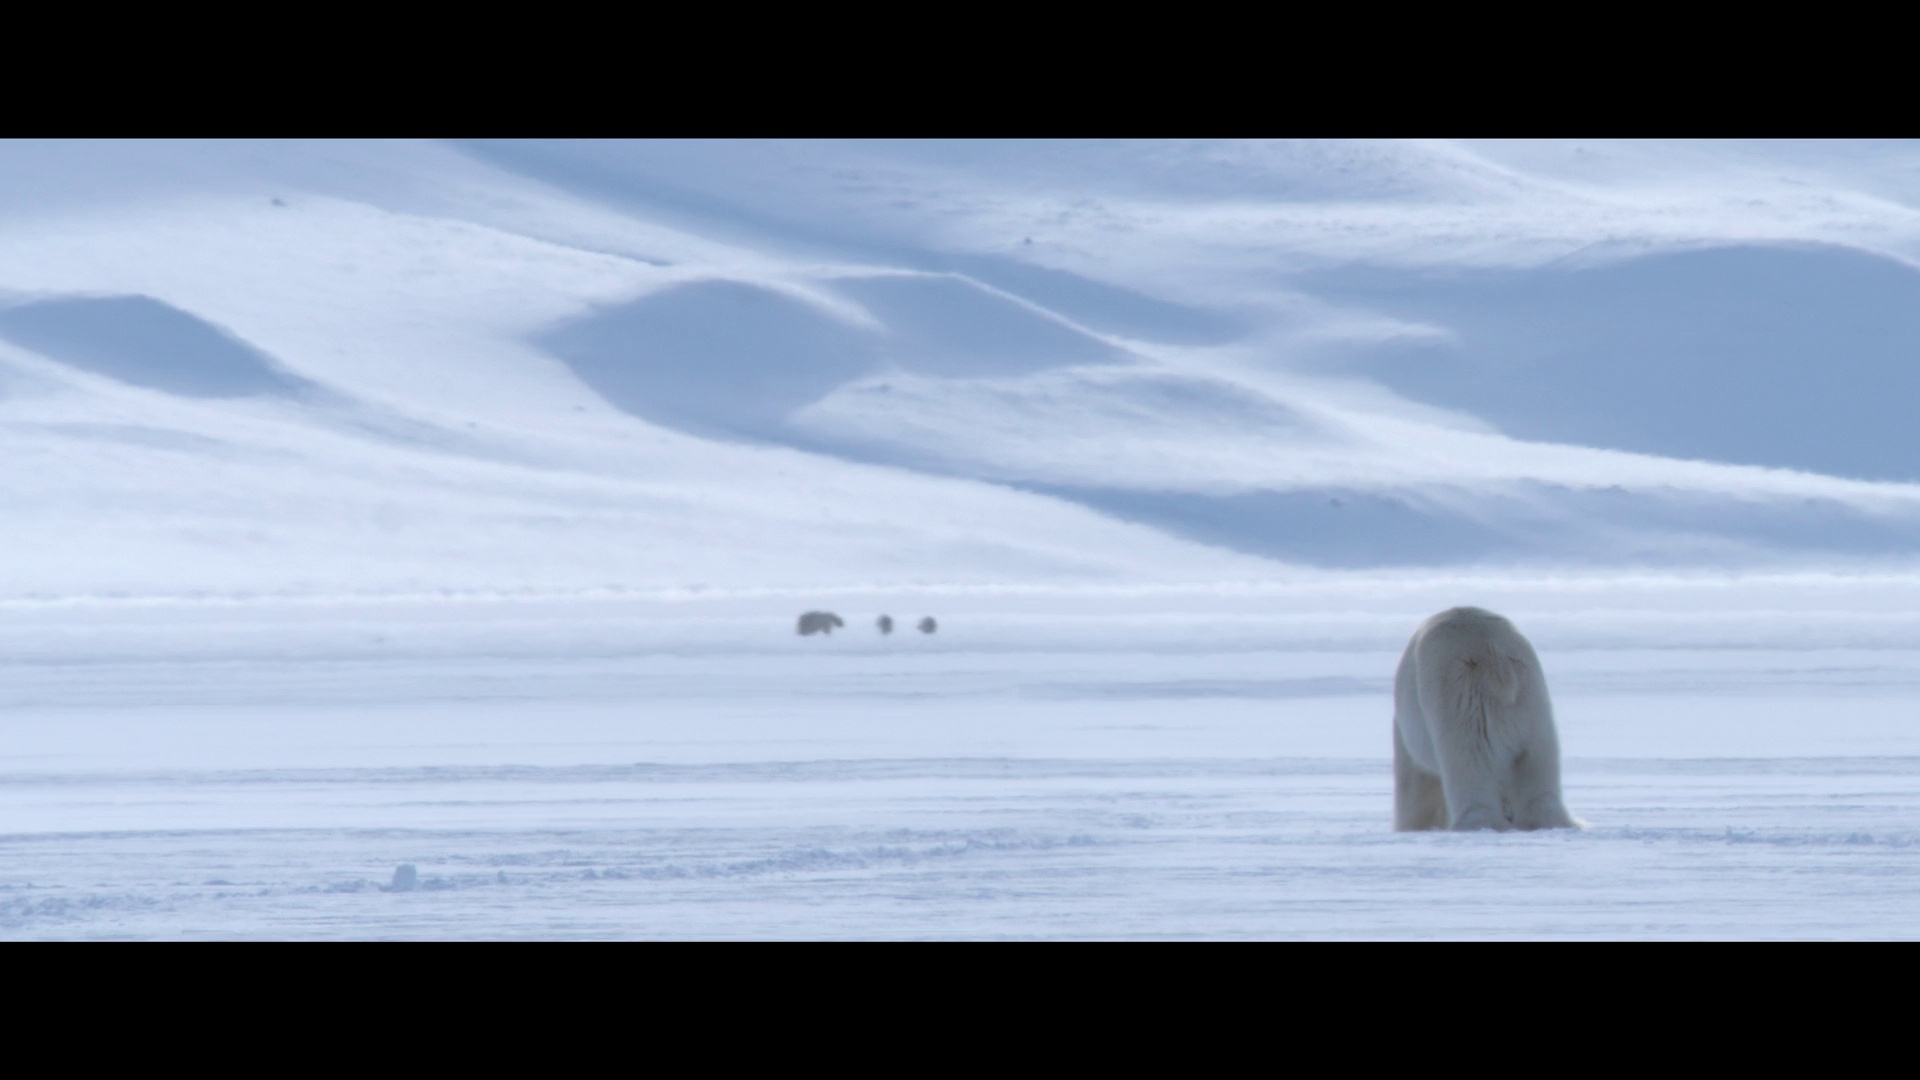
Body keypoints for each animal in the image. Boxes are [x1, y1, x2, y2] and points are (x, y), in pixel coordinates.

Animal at [1390, 607, 1582, 822]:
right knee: (1538, 777)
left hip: (1461, 704)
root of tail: (1492, 655)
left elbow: (1415, 786)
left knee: (1468, 767)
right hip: (1534, 707)